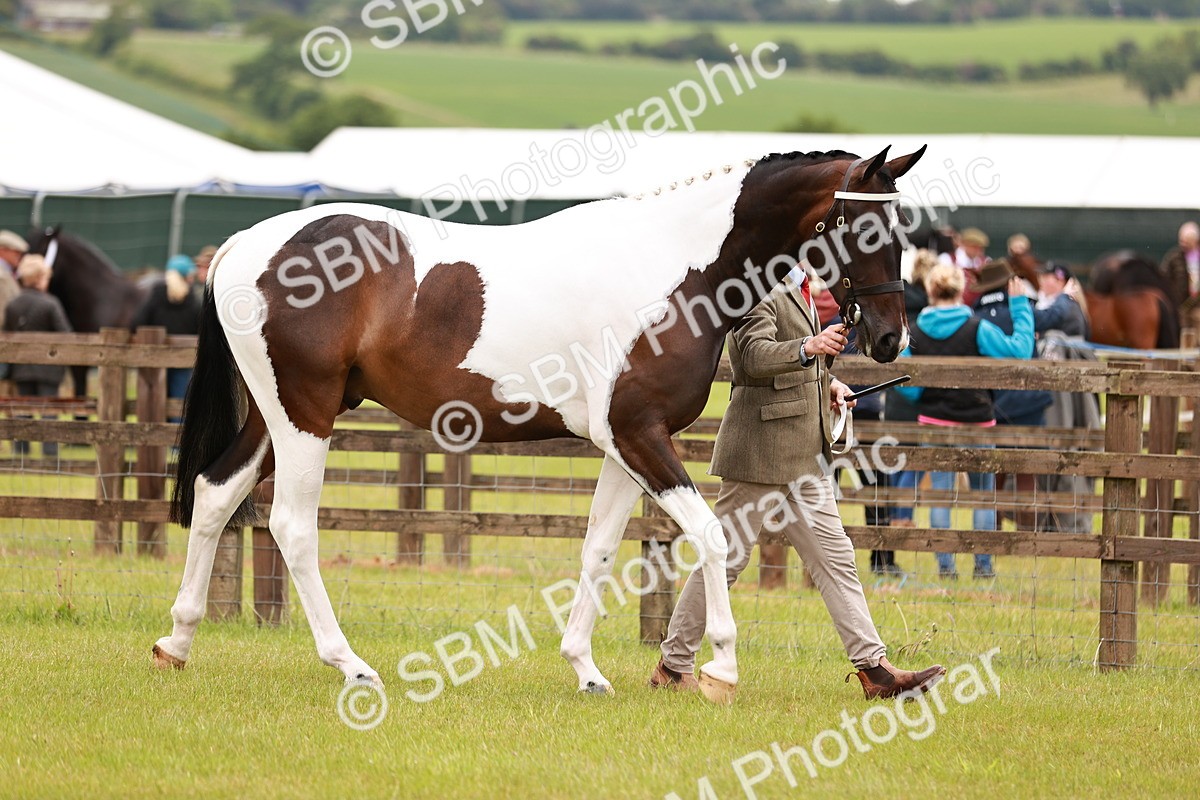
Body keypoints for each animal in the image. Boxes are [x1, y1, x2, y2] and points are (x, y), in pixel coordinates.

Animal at [153, 145, 926, 704]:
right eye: (864, 227)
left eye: (905, 231)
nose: (892, 338)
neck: (673, 269)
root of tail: (243, 245)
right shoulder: (639, 436)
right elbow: (708, 536)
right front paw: (723, 670)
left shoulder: (623, 446)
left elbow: (600, 550)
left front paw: (586, 669)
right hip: (303, 415)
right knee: (291, 525)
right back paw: (350, 665)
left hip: (280, 415)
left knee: (216, 494)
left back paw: (177, 644)